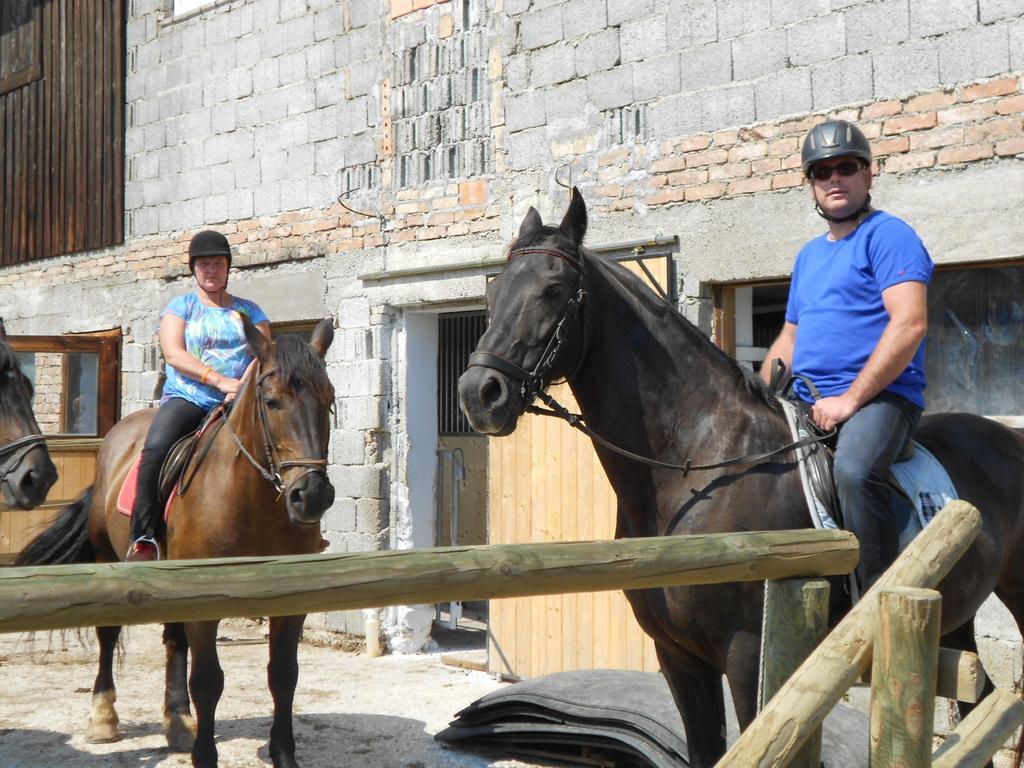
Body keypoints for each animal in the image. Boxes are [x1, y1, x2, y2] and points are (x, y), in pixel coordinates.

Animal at [16, 315, 335, 765]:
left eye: (329, 400)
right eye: (272, 402)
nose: (311, 496)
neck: (250, 501)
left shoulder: (291, 602)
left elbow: (283, 677)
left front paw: (283, 754)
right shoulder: (208, 599)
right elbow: (208, 680)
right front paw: (205, 755)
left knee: (173, 641)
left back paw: (179, 723)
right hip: (110, 557)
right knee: (109, 634)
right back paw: (103, 719)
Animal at [460, 188, 1024, 768]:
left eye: (553, 289)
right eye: (495, 290)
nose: (479, 393)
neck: (699, 461)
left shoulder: (749, 653)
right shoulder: (678, 656)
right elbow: (705, 748)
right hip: (957, 611)